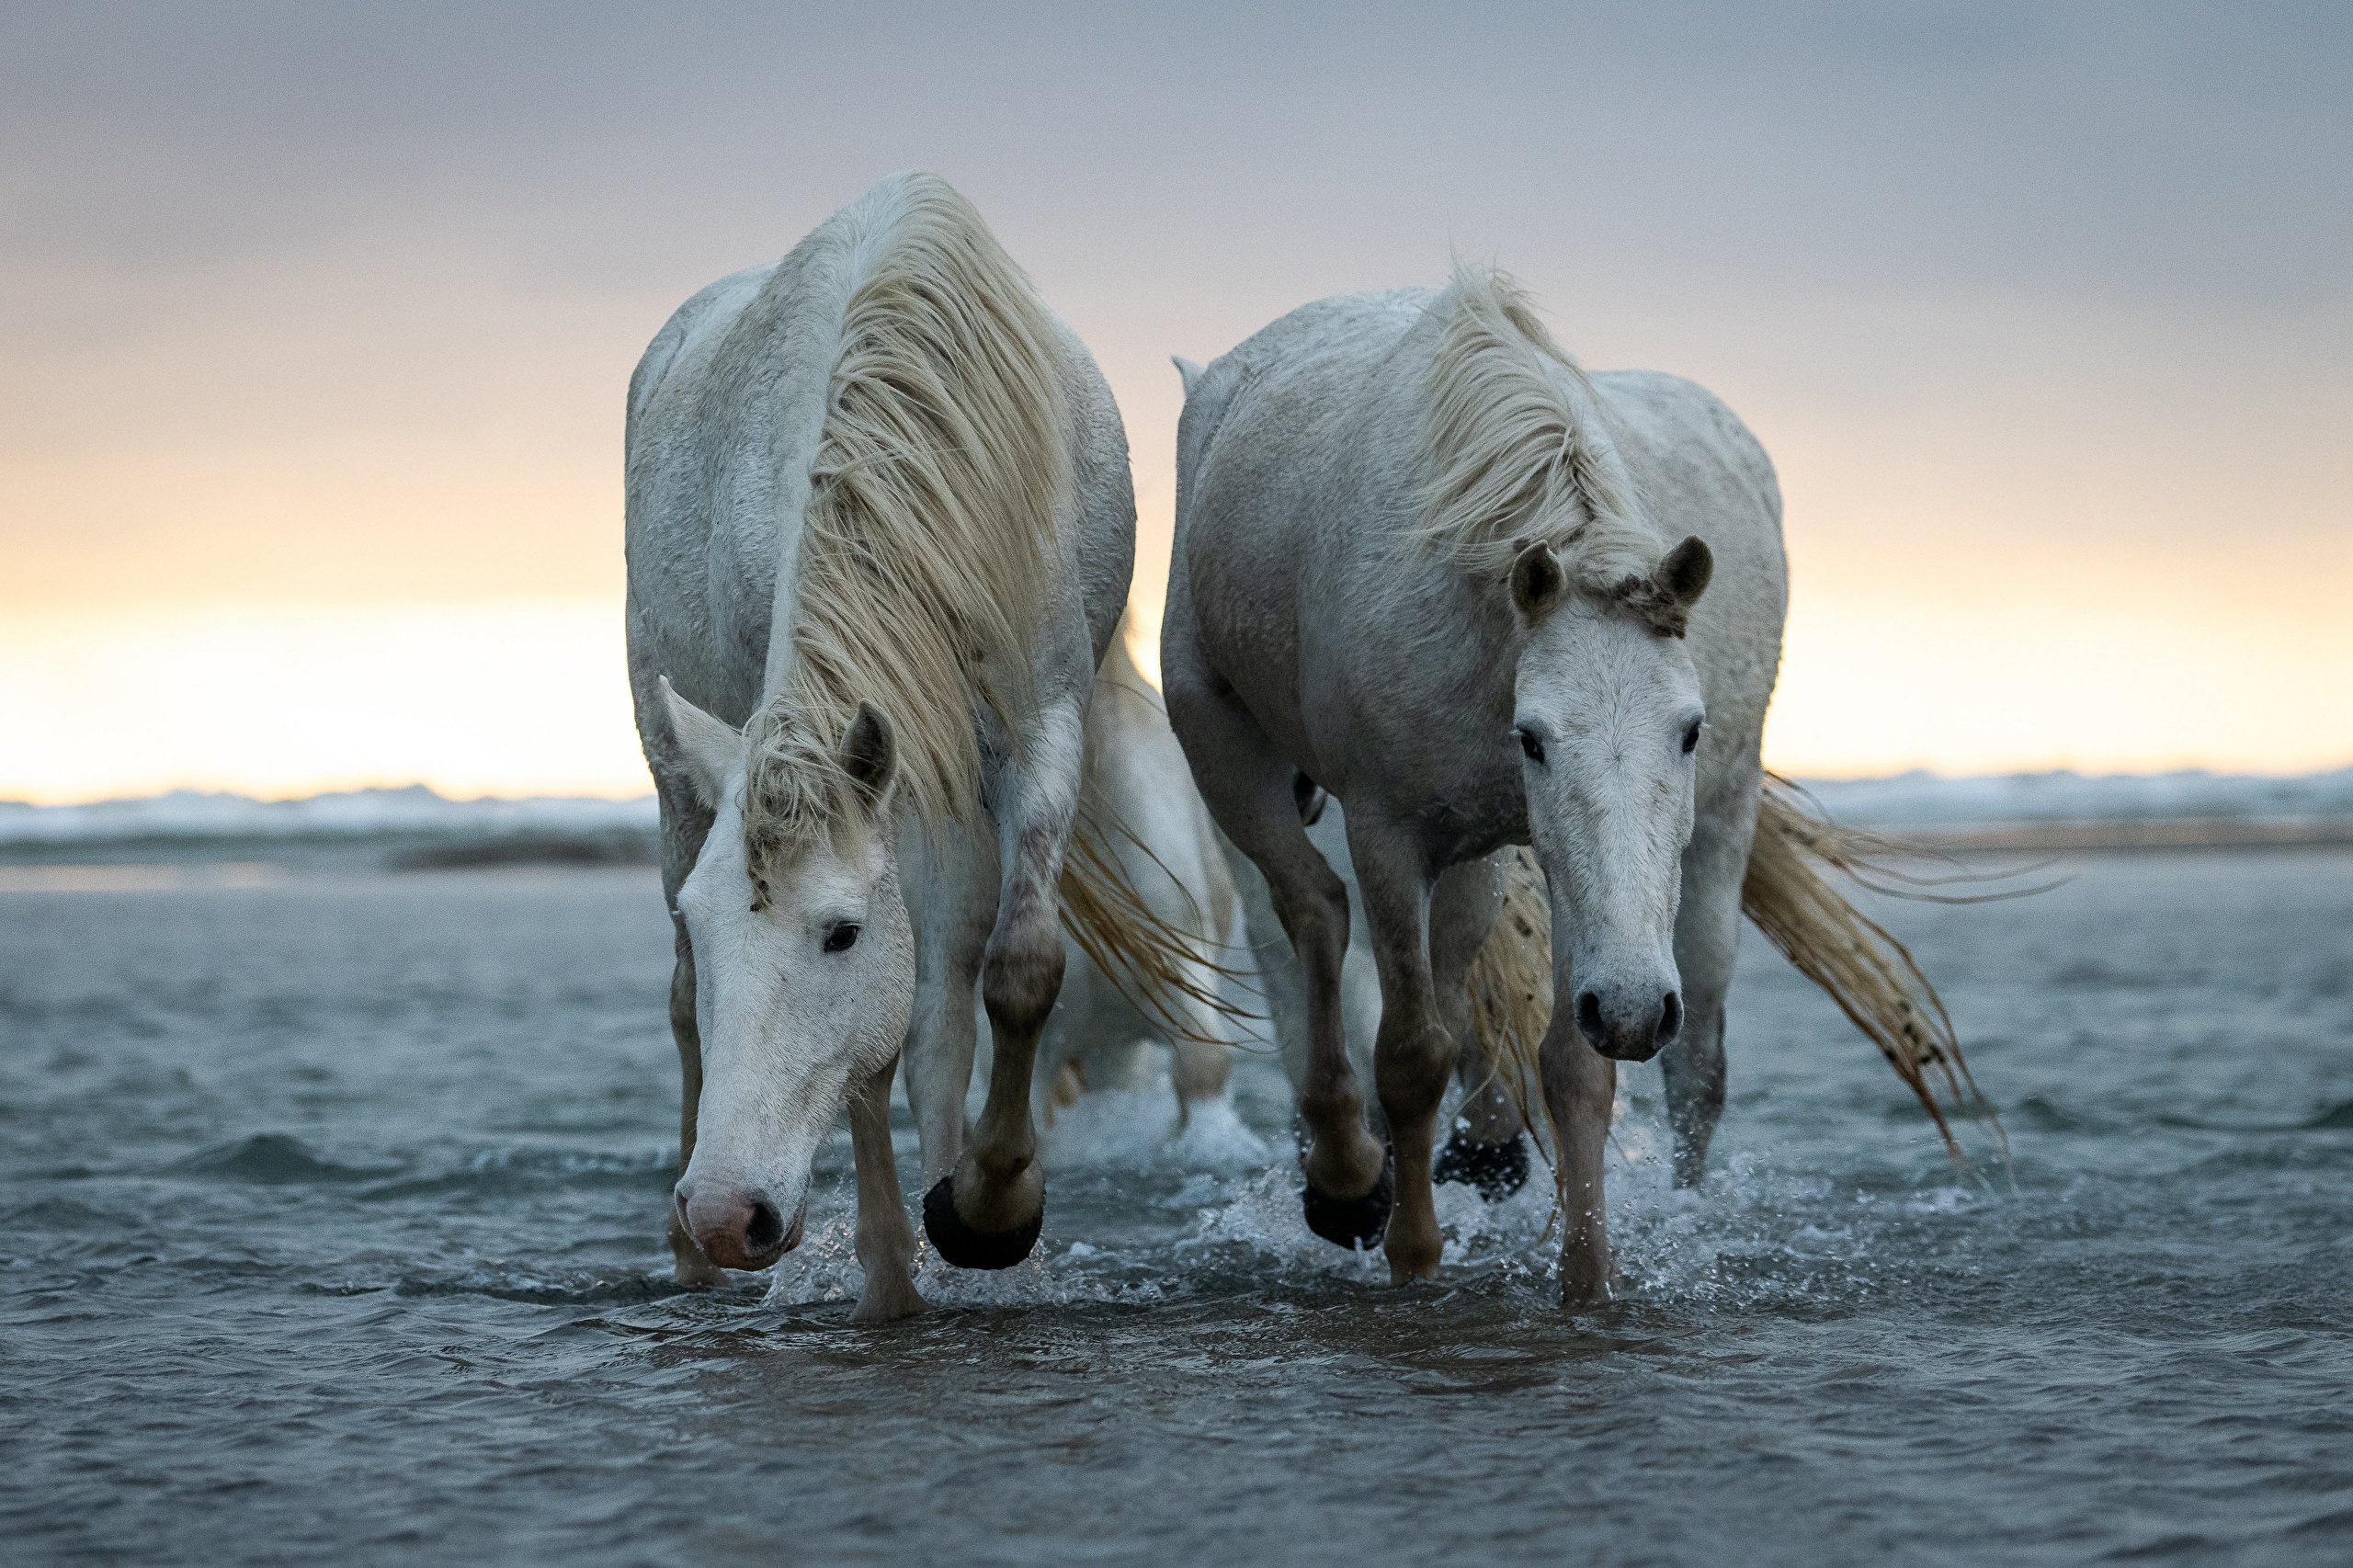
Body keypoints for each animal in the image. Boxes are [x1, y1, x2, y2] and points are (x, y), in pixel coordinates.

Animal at [620, 174, 1162, 1318]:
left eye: (840, 933)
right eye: (703, 915)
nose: (726, 1211)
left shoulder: (1035, 730)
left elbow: (1011, 968)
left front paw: (990, 1211)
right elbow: (869, 1051)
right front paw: (889, 1275)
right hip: (674, 762)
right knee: (688, 1006)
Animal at [1162, 268, 1967, 1290]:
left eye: (1689, 730)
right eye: (1534, 739)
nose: (1635, 1007)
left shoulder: (1541, 861)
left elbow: (1574, 1064)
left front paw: (1590, 1280)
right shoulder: (1388, 833)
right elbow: (1411, 1049)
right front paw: (1413, 1251)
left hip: (1626, 845)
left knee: (1655, 1045)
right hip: (1220, 742)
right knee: (1311, 909)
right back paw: (1346, 1177)